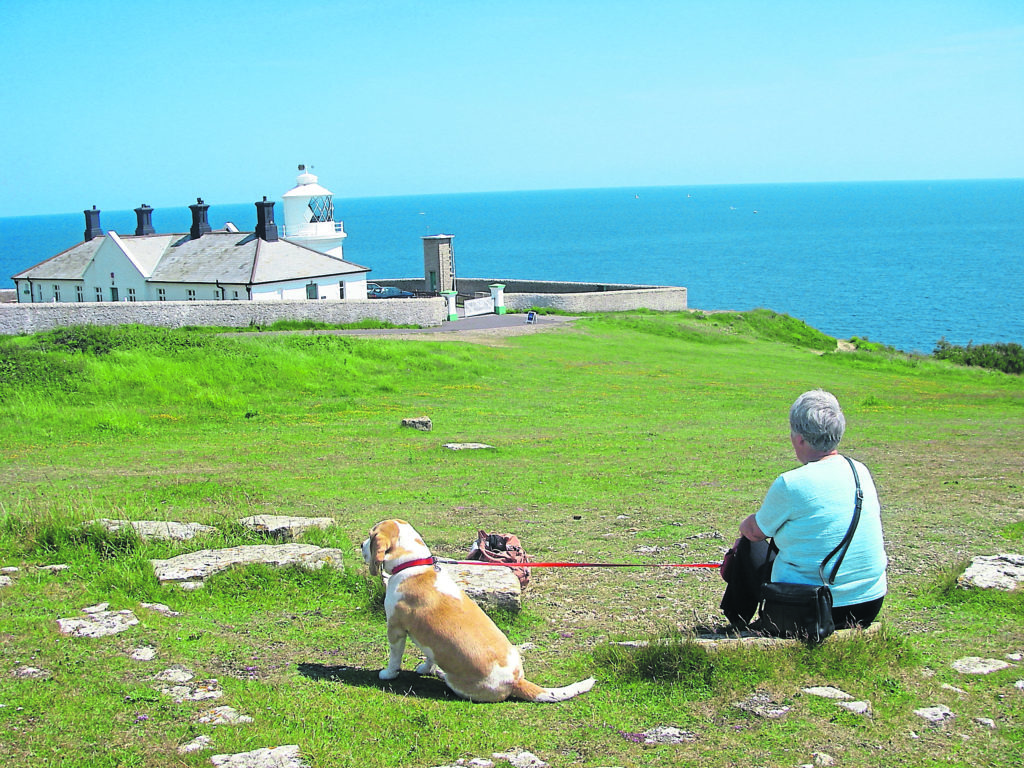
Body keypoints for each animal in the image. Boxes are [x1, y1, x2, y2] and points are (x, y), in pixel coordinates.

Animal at [362, 520, 598, 708]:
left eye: (371, 535)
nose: (360, 545)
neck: (412, 565)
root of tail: (516, 681)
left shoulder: (395, 630)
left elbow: (394, 658)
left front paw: (388, 674)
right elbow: (430, 655)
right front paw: (425, 667)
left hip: (459, 683)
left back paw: (441, 673)